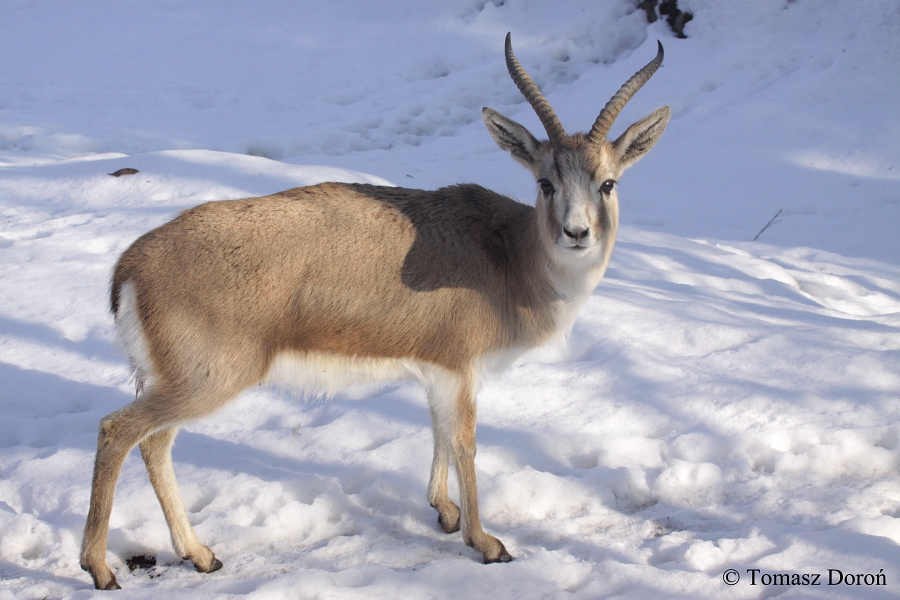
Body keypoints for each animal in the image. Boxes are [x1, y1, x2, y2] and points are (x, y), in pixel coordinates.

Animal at [80, 33, 669, 589]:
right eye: (545, 182)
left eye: (608, 182)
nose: (577, 232)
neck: (509, 258)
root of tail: (132, 264)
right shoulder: (460, 368)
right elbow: (465, 443)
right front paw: (486, 542)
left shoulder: (438, 371)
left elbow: (438, 433)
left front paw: (445, 512)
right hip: (206, 380)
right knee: (117, 430)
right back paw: (101, 569)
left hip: (179, 383)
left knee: (155, 446)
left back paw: (200, 555)